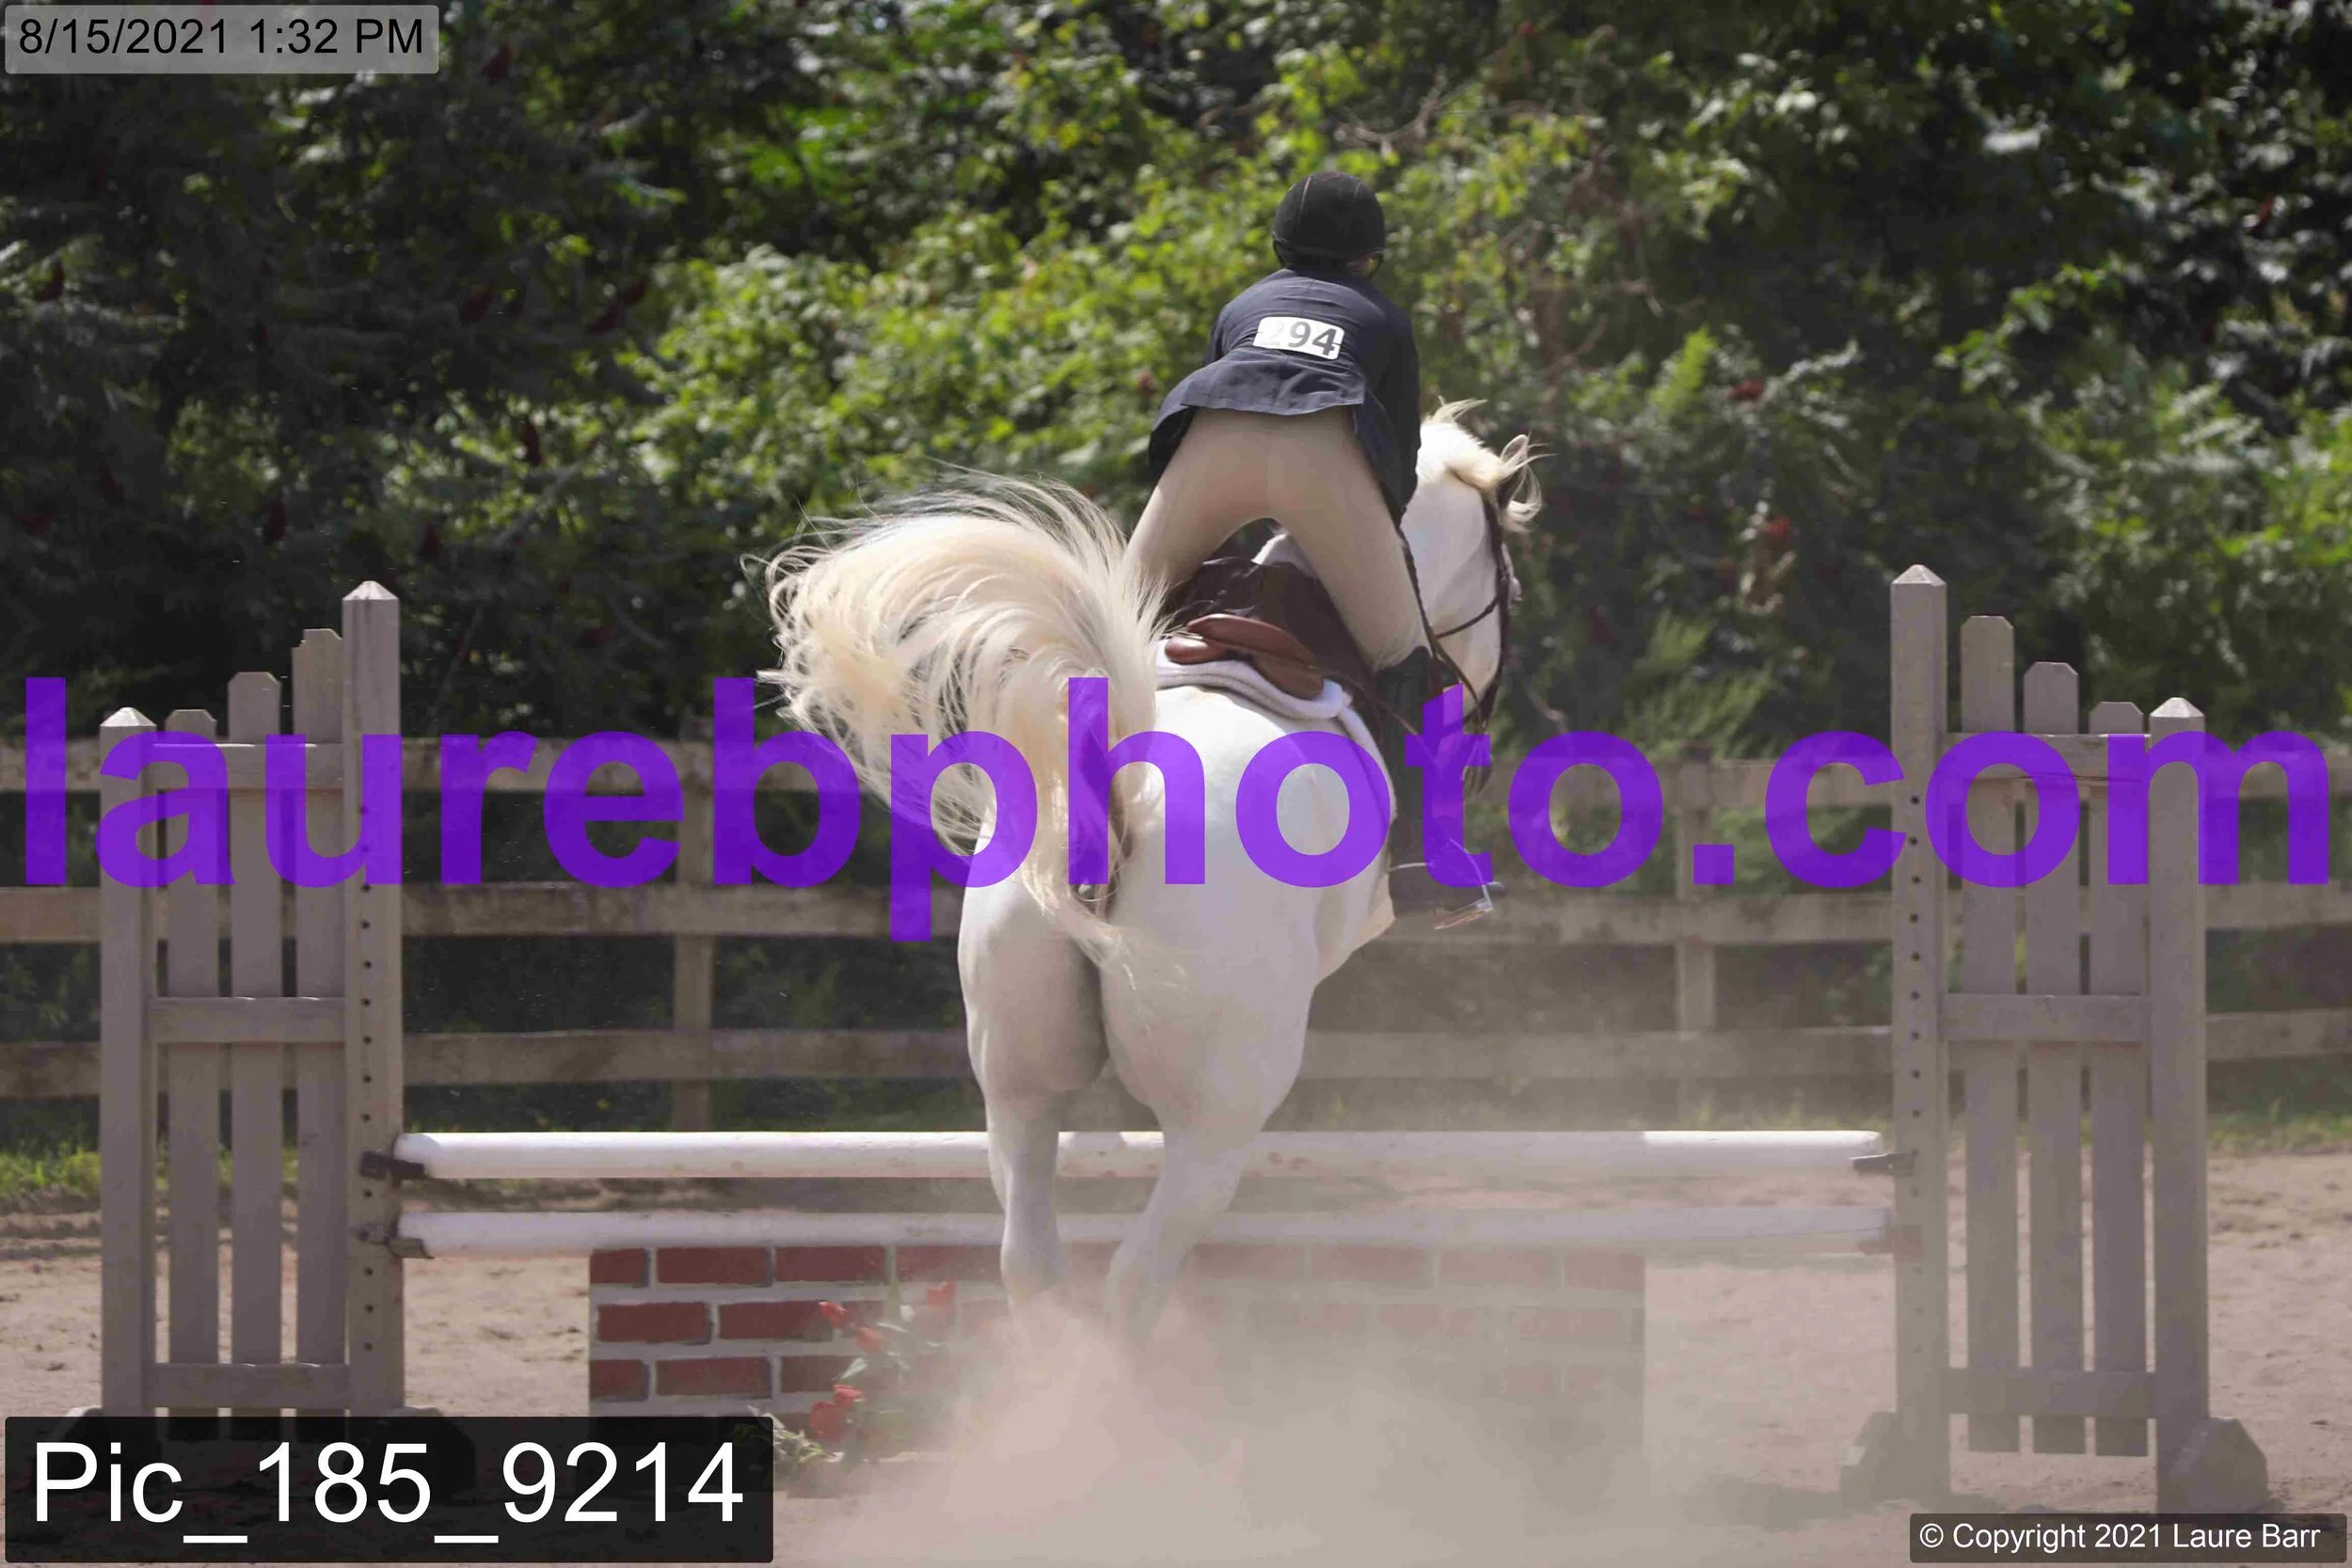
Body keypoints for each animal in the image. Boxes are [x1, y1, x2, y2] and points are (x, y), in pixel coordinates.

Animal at [765, 401, 1537, 1349]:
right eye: (1509, 587)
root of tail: (1114, 803)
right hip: (1216, 1122)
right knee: (1136, 1276)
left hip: (1017, 1083)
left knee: (1031, 1255)